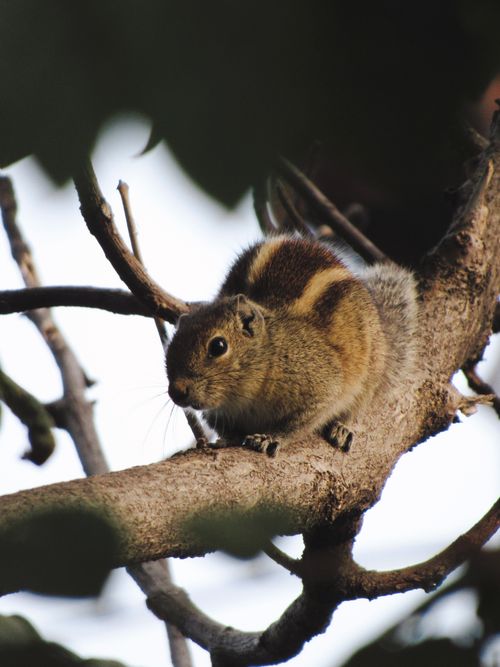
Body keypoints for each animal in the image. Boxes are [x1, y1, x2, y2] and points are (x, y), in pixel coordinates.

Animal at [166, 235, 418, 455]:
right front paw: (228, 438)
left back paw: (342, 428)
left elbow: (302, 421)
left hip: (369, 371)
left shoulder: (320, 382)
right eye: (170, 348)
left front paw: (270, 437)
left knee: (358, 404)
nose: (176, 392)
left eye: (218, 346)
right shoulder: (215, 413)